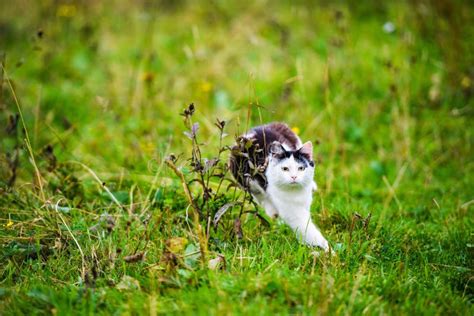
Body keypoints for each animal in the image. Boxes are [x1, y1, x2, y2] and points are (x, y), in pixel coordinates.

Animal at [231, 122, 330, 251]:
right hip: (242, 175)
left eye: (301, 168)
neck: (295, 193)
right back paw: (273, 211)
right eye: (285, 169)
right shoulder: (291, 211)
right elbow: (306, 227)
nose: (294, 177)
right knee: (259, 195)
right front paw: (326, 248)